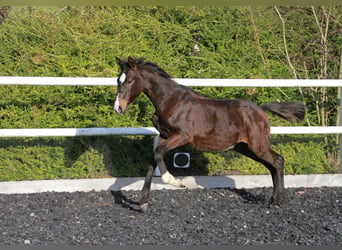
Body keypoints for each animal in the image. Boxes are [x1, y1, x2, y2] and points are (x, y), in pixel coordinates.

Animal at [113, 56, 306, 211]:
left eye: (130, 81)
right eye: (117, 80)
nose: (118, 108)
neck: (171, 101)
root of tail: (260, 109)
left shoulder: (182, 136)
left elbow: (158, 154)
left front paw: (176, 182)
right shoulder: (164, 136)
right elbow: (153, 160)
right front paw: (143, 203)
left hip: (257, 145)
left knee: (278, 161)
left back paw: (278, 201)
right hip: (245, 147)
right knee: (272, 165)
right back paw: (273, 199)